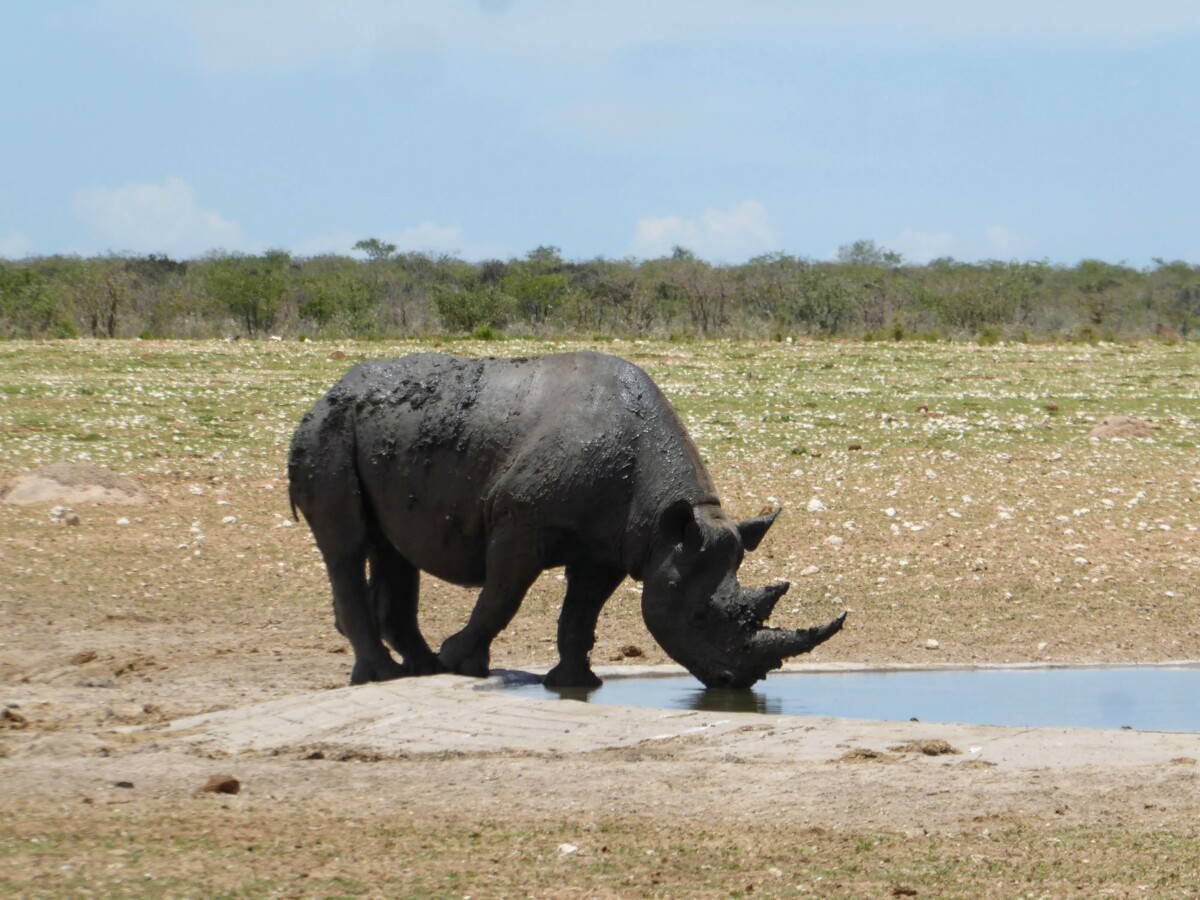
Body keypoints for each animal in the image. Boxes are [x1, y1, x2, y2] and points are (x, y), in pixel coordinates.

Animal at [289, 352, 844, 691]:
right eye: (702, 617)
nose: (738, 682)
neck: (668, 521)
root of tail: (322, 395)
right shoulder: (520, 523)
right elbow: (502, 598)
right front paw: (461, 663)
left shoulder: (615, 547)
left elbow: (582, 611)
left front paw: (576, 683)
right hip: (328, 432)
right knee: (346, 546)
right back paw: (385, 675)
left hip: (381, 434)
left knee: (392, 548)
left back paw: (418, 669)